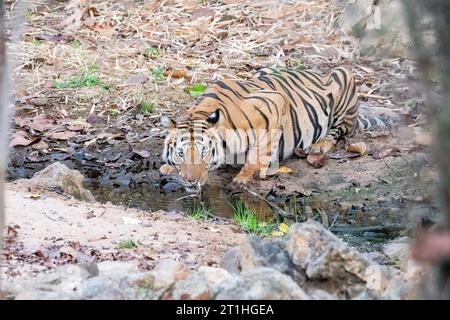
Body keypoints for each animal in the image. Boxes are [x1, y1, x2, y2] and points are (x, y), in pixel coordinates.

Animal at [160, 66, 392, 194]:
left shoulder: (274, 103)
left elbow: (258, 152)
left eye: (204, 153)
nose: (192, 180)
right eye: (181, 154)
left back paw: (319, 146)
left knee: (340, 130)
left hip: (344, 79)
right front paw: (169, 168)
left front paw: (243, 178)